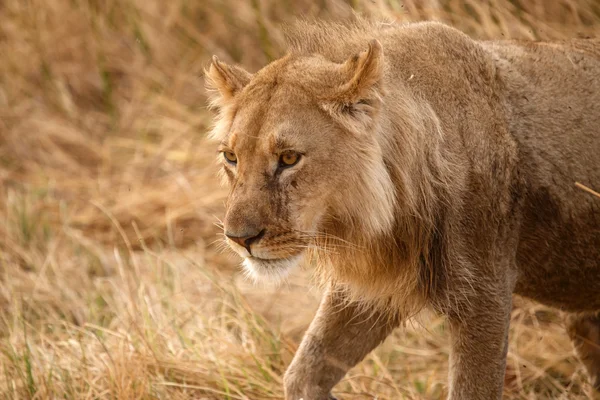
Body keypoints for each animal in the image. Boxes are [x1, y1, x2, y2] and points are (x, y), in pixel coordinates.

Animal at [205, 18, 600, 400]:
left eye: (288, 158)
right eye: (231, 157)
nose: (239, 239)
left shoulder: (486, 293)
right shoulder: (368, 289)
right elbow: (302, 376)